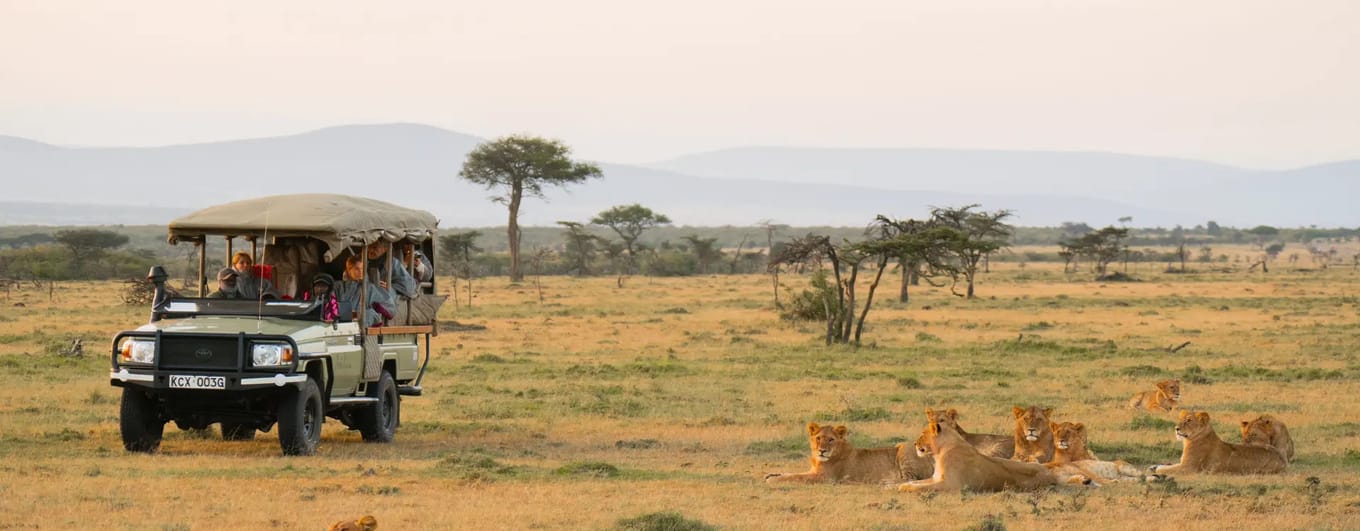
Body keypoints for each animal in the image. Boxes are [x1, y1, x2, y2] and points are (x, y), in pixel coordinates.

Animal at [767, 422, 935, 484]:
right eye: (818, 438)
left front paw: (773, 479)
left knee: (910, 479)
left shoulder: (824, 477)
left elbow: (796, 477)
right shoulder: (814, 471)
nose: (822, 450)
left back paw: (885, 481)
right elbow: (792, 473)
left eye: (831, 440)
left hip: (905, 448)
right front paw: (771, 474)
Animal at [1147, 411, 1283, 476]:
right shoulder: (1183, 463)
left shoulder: (1188, 468)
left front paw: (1156, 469)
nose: (1176, 428)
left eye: (1189, 420)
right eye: (1180, 420)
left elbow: (1166, 469)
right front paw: (1154, 466)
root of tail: (1282, 457)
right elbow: (1170, 464)